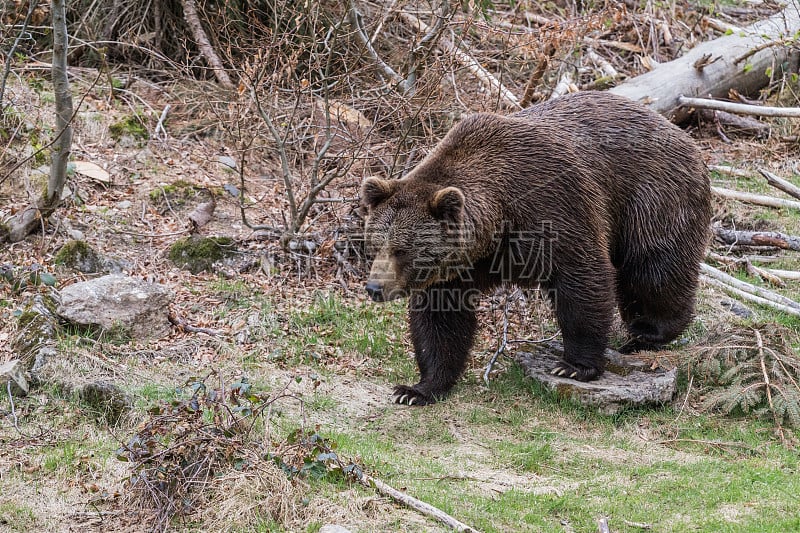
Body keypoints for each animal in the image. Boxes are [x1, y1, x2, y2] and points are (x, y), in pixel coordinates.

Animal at [362, 91, 712, 406]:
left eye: (402, 249)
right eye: (375, 243)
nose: (375, 287)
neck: (498, 221)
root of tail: (684, 137)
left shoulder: (555, 208)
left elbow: (584, 280)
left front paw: (575, 366)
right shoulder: (458, 268)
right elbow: (441, 320)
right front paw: (418, 389)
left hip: (652, 198)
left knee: (653, 269)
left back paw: (647, 333)